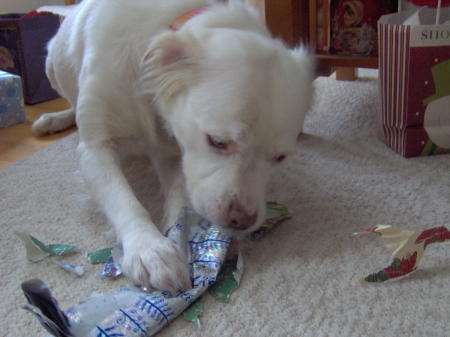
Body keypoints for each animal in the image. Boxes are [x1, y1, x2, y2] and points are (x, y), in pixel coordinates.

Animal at [33, 0, 314, 292]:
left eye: (280, 157)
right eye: (218, 141)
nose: (243, 220)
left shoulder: (175, 152)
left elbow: (179, 196)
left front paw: (181, 236)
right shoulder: (93, 149)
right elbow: (123, 199)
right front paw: (149, 249)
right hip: (51, 67)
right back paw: (55, 118)